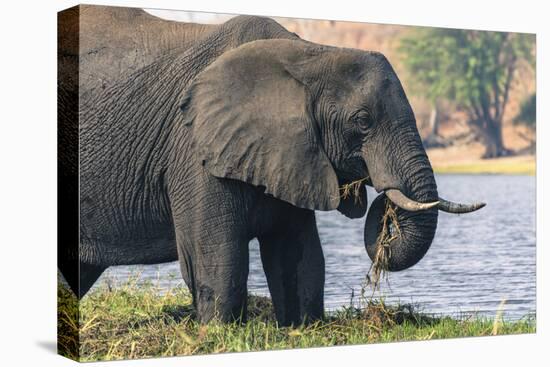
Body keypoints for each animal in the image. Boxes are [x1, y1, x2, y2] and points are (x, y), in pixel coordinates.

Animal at [58, 10, 486, 328]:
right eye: (362, 122)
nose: (384, 210)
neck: (309, 54)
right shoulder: (195, 148)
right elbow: (219, 255)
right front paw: (219, 335)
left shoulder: (289, 152)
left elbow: (298, 254)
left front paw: (303, 328)